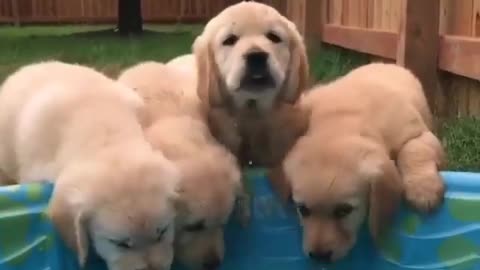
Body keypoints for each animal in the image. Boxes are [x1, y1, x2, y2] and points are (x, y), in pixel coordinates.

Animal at [284, 62, 444, 262]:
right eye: (303, 209)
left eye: (343, 211)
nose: (319, 256)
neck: (341, 120)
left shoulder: (419, 135)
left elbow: (414, 151)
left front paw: (423, 189)